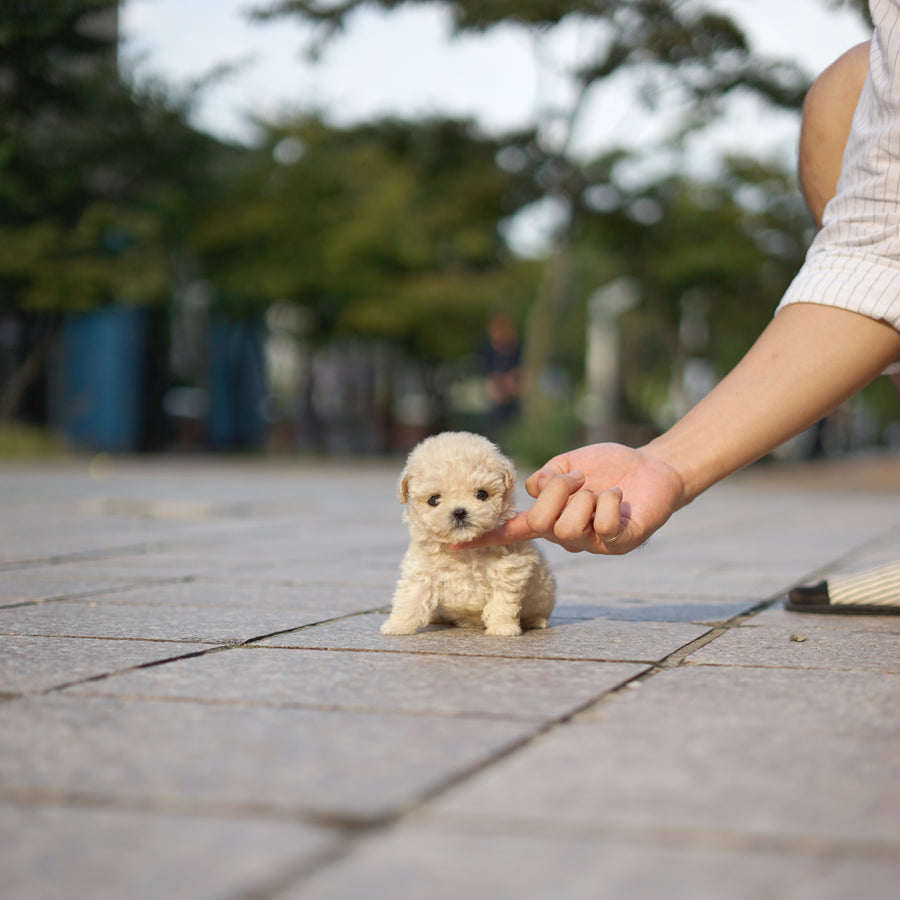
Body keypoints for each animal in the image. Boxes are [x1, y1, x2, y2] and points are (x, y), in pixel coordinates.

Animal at [382, 432, 556, 636]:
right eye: (433, 499)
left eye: (482, 494)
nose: (459, 512)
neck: (464, 552)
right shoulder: (421, 572)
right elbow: (410, 599)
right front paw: (397, 626)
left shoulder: (508, 571)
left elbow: (502, 602)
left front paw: (503, 628)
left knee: (538, 612)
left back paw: (536, 621)